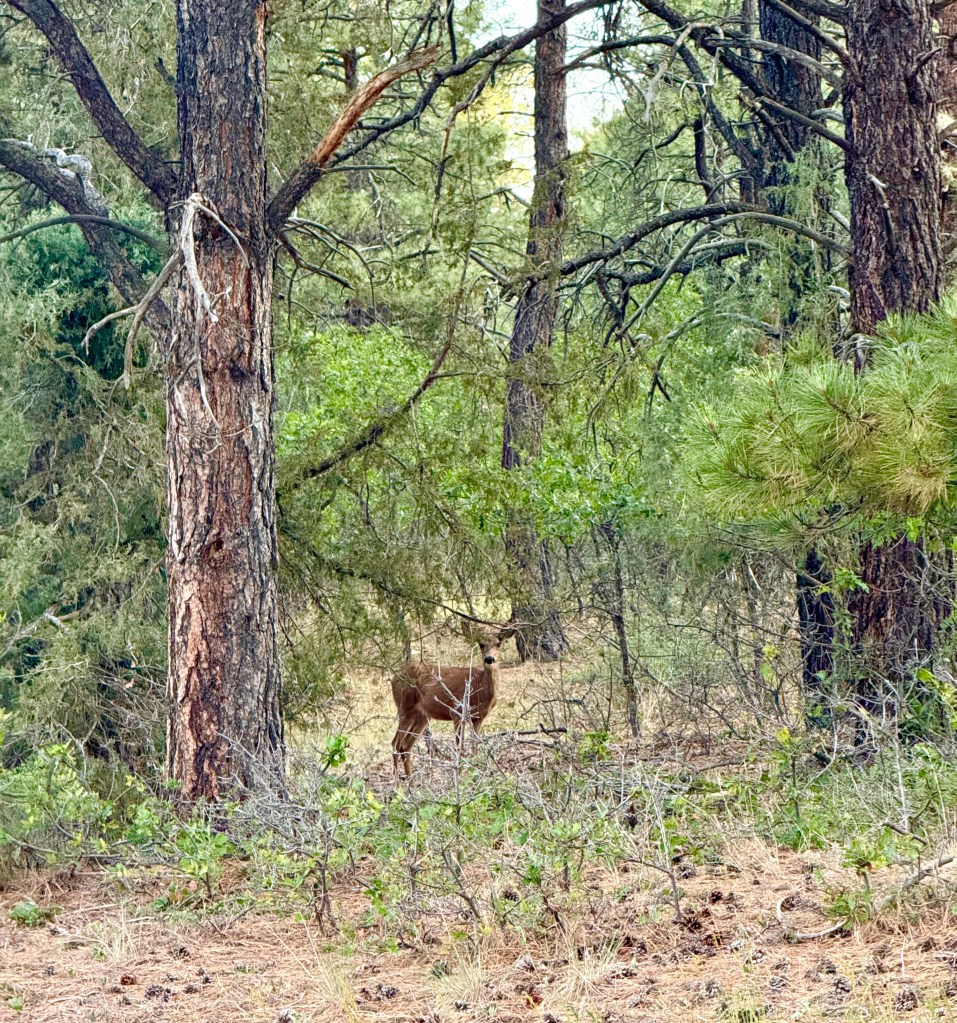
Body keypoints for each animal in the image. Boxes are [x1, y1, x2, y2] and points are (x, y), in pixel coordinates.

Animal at [390, 623, 511, 779]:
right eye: (481, 644)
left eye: (498, 643)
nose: (489, 659)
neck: (479, 687)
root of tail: (395, 677)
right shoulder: (457, 712)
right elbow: (460, 748)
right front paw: (460, 775)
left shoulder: (478, 718)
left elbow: (475, 746)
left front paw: (476, 774)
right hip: (404, 706)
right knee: (395, 743)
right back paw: (397, 782)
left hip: (422, 715)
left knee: (405, 746)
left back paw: (412, 782)